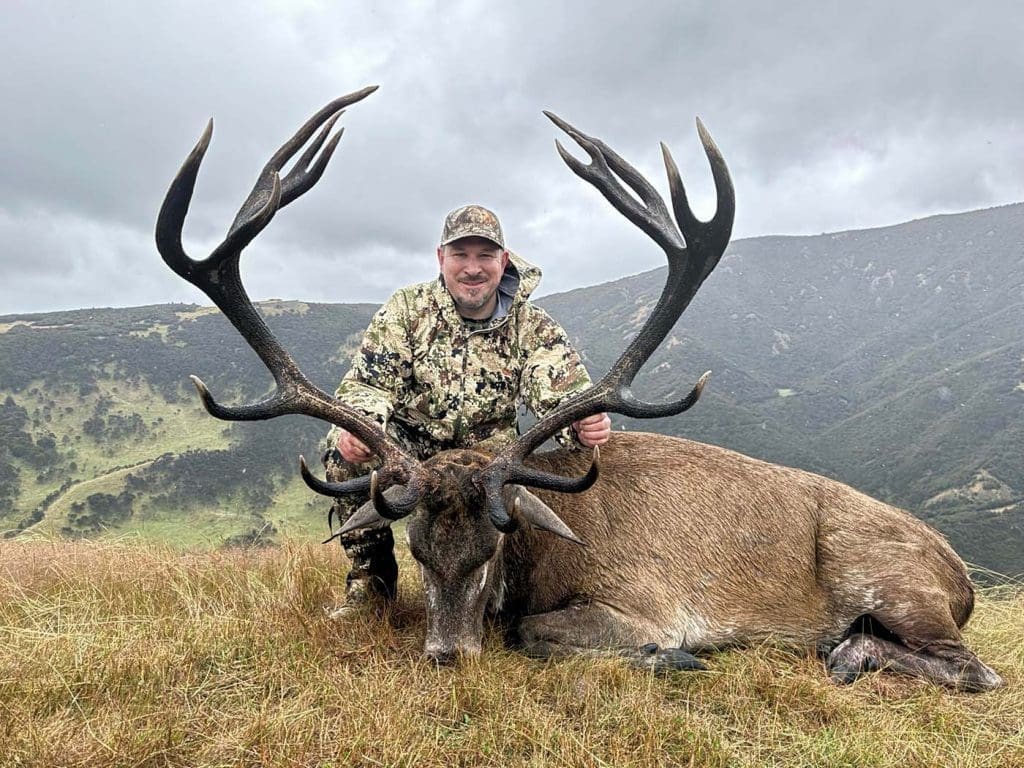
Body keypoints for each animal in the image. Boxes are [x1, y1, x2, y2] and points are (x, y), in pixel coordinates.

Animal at [155, 86, 1003, 692]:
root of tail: (960, 574)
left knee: (976, 669)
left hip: (891, 581)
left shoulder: (649, 602)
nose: (446, 654)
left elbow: (541, 633)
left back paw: (848, 654)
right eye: (419, 550)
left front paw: (670, 658)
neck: (541, 556)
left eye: (492, 548)